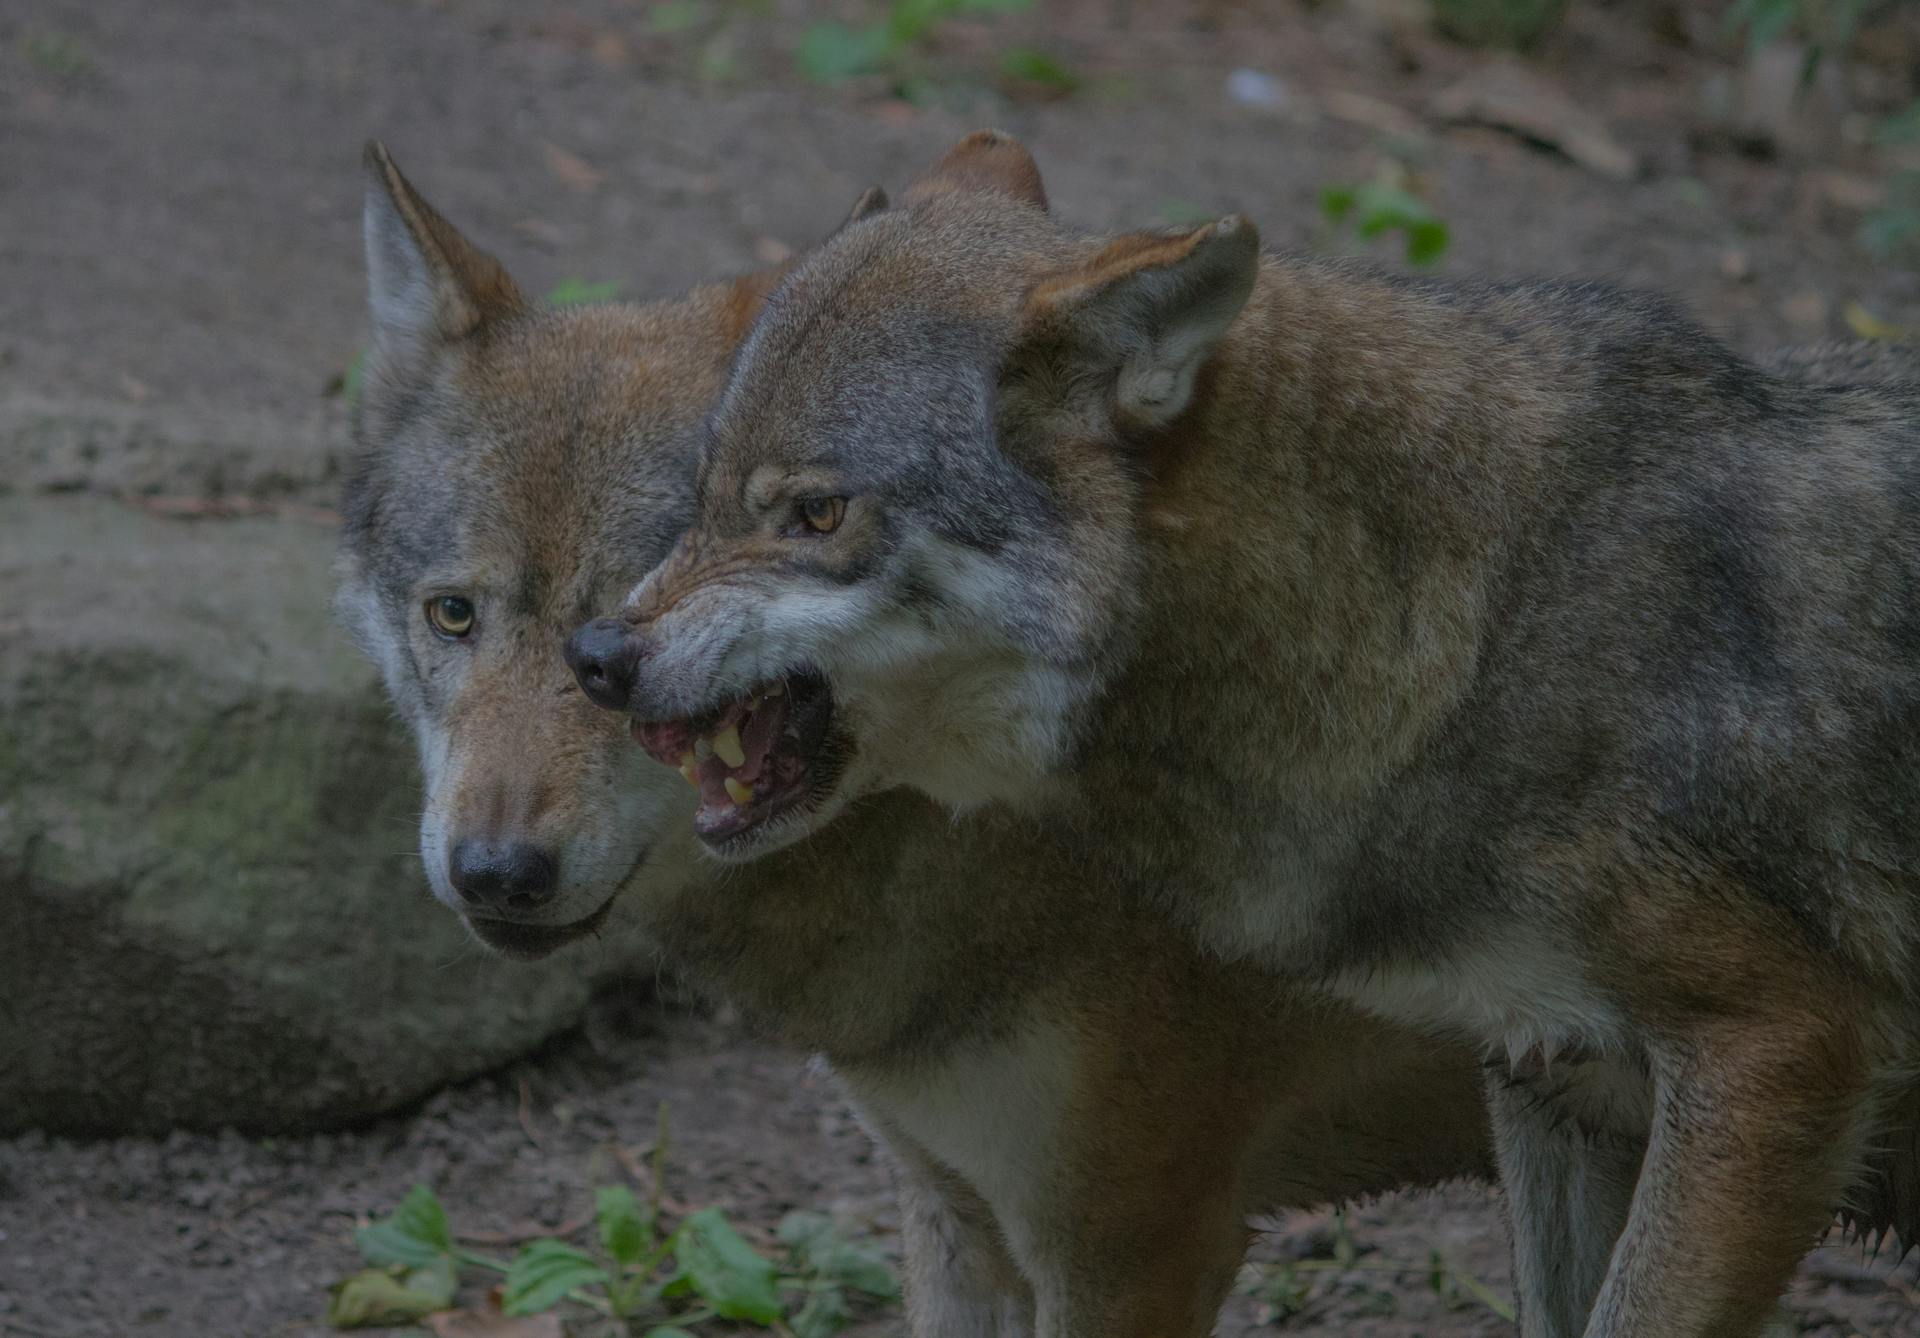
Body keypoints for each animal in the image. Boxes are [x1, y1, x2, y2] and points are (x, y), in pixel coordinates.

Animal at [579, 127, 1920, 1336]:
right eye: (705, 492)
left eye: (815, 513)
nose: (595, 657)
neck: (1479, 627)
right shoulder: (1560, 1083)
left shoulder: (1772, 1057)